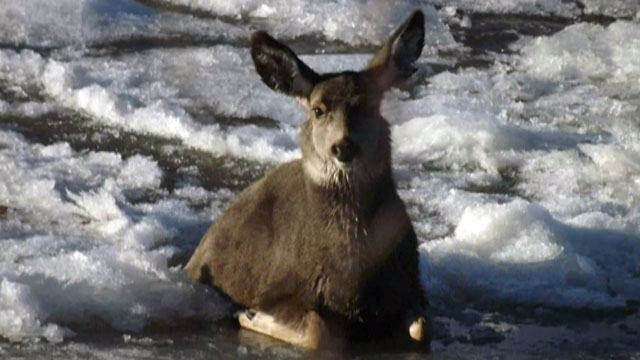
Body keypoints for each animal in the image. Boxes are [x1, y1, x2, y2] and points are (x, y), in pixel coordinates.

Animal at [186, 11, 430, 352]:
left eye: (369, 105)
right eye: (318, 110)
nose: (343, 146)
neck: (351, 283)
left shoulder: (409, 285)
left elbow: (421, 329)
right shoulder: (280, 286)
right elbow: (318, 331)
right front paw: (250, 316)